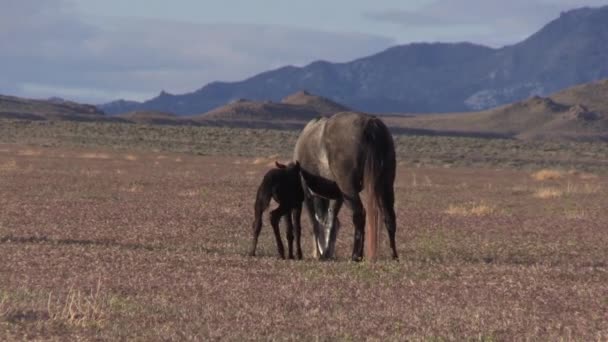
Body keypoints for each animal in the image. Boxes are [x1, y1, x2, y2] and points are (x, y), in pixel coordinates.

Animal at [292, 112, 396, 262]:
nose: (325, 253)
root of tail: (370, 124)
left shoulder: (307, 194)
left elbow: (315, 224)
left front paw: (319, 253)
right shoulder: (337, 196)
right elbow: (331, 221)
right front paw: (326, 252)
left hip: (349, 189)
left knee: (359, 215)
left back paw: (356, 255)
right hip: (386, 184)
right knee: (389, 217)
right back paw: (394, 255)